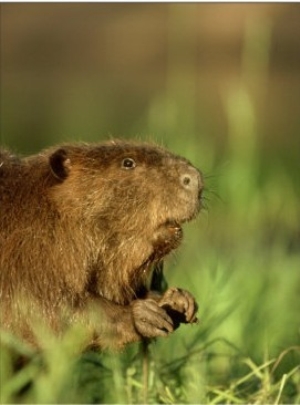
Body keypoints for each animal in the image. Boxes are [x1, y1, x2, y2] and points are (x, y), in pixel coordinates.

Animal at [0, 140, 204, 348]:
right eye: (128, 162)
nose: (194, 178)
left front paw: (179, 300)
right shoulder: (29, 254)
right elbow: (40, 309)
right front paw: (143, 315)